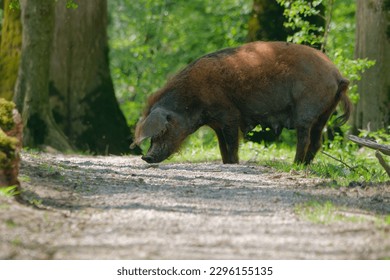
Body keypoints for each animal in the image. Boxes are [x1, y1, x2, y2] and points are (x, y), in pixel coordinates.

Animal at [133, 41, 352, 164]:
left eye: (163, 130)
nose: (146, 157)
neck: (193, 99)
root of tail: (337, 75)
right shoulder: (216, 123)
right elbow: (222, 146)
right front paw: (226, 164)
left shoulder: (229, 115)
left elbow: (232, 144)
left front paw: (234, 164)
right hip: (325, 113)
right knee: (317, 141)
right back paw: (304, 165)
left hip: (306, 110)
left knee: (304, 139)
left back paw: (295, 165)